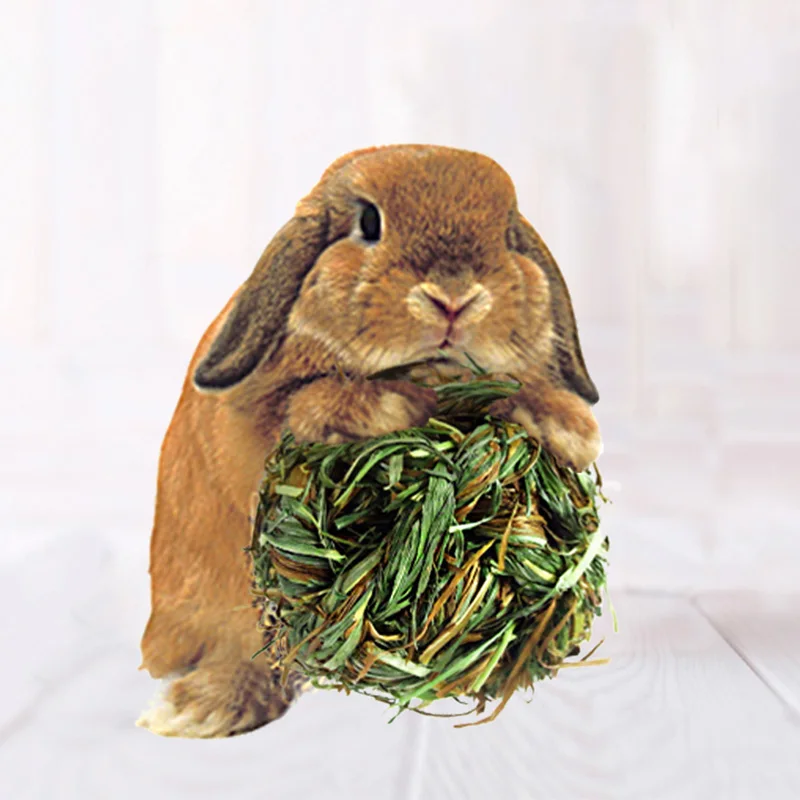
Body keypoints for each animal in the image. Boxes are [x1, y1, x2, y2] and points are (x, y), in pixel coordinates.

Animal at [136, 144, 601, 738]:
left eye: (505, 235)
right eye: (368, 223)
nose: (455, 298)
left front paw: (572, 429)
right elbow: (304, 405)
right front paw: (401, 403)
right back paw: (199, 708)